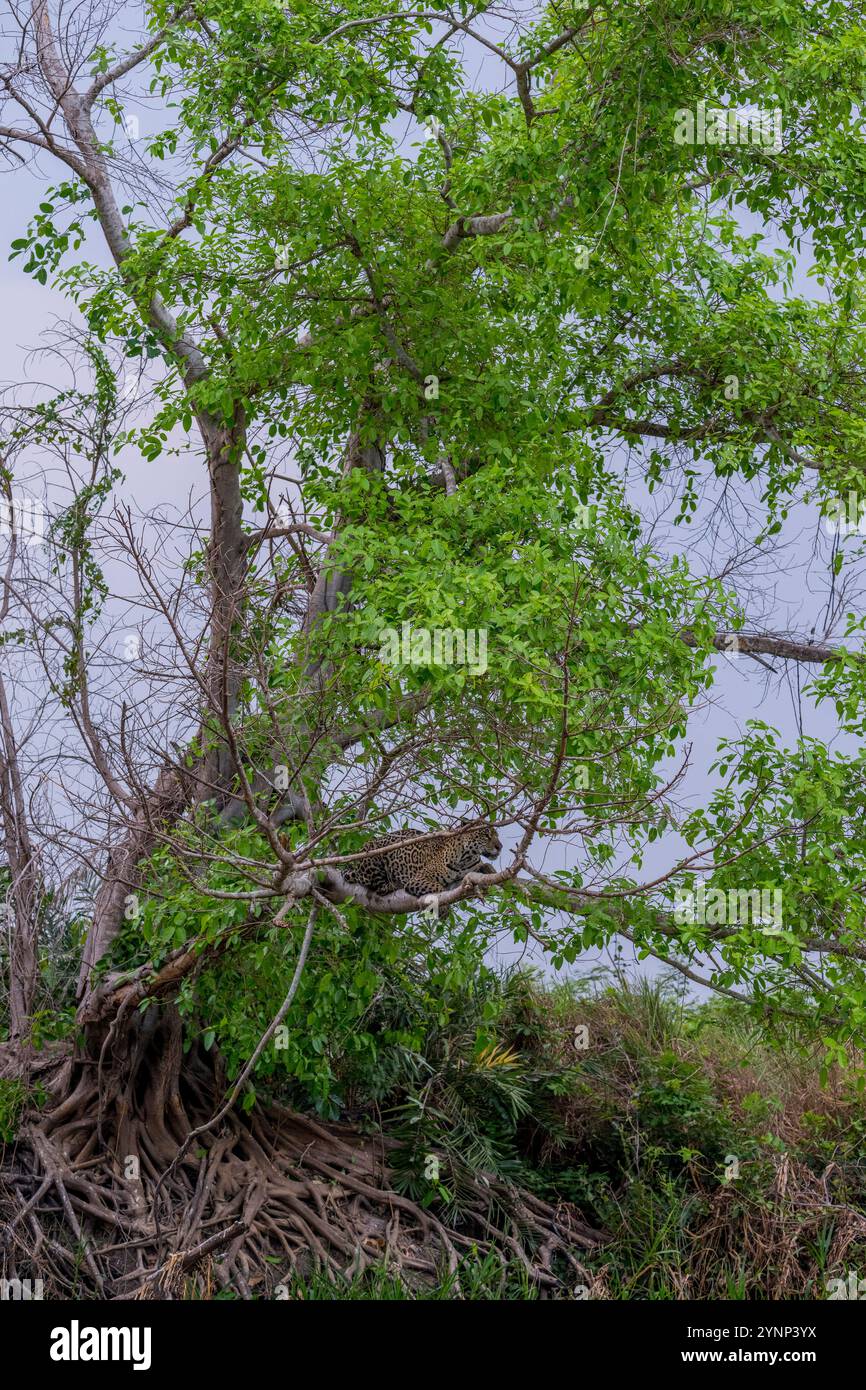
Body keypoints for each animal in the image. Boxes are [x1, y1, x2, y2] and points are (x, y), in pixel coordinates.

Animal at [342, 820, 503, 902]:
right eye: (486, 835)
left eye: (496, 835)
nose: (500, 847)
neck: (466, 857)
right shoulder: (418, 879)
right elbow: (440, 889)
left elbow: (485, 867)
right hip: (372, 853)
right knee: (379, 887)